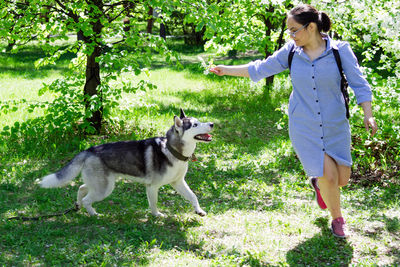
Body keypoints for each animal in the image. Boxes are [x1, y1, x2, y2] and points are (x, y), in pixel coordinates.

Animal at [38, 109, 212, 218]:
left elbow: (193, 196)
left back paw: (78, 205)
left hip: (99, 184)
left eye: (199, 121)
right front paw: (156, 215)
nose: (212, 124)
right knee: (88, 199)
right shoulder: (152, 187)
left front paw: (199, 210)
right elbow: (154, 204)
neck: (171, 150)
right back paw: (94, 214)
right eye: (195, 125)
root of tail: (89, 150)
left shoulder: (178, 182)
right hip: (104, 188)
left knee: (81, 188)